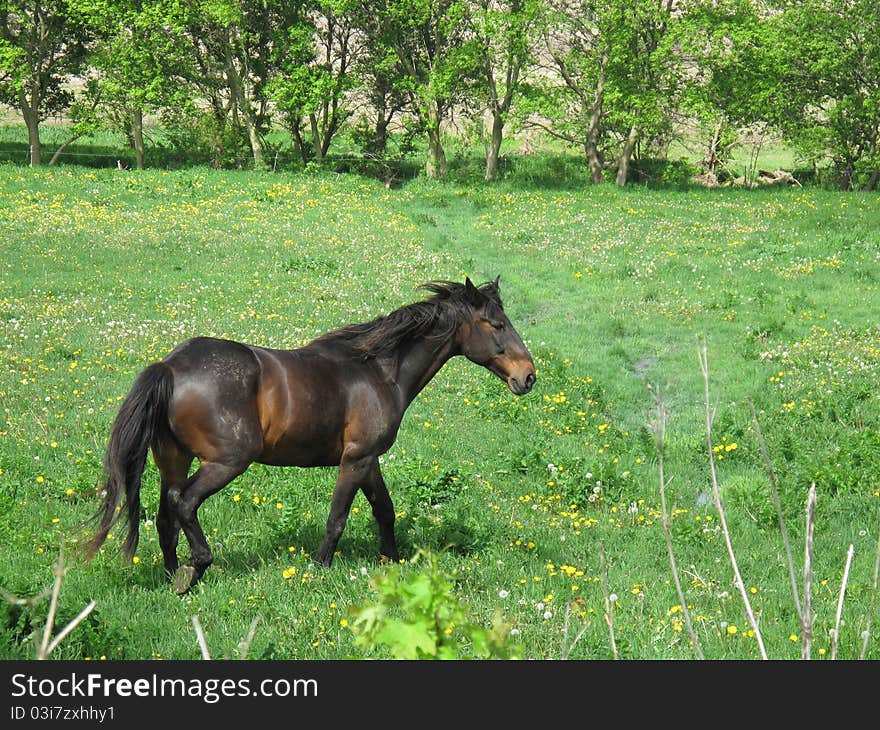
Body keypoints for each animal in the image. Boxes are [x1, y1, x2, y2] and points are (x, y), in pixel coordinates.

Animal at [84, 278, 536, 592]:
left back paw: (172, 576)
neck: (378, 371)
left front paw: (392, 564)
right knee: (184, 502)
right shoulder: (355, 459)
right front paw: (319, 567)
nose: (528, 377)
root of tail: (171, 366)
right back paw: (196, 567)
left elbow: (385, 511)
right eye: (496, 324)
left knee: (165, 517)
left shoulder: (368, 460)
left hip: (174, 459)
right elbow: (337, 518)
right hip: (227, 461)